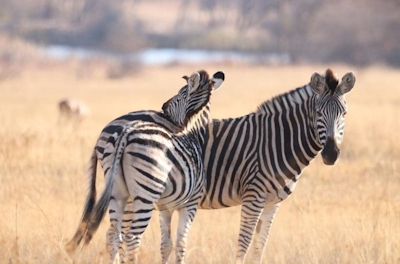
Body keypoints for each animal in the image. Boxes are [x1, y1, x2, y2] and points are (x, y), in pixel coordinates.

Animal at [67, 69, 227, 262]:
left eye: (181, 94)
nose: (163, 106)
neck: (194, 135)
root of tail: (126, 133)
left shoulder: (166, 207)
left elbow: (167, 244)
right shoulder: (190, 204)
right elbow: (181, 244)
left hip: (117, 192)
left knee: (113, 235)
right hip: (146, 194)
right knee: (132, 238)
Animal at [89, 67, 354, 262]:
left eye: (344, 114)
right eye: (318, 113)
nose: (331, 154)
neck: (278, 140)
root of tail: (112, 125)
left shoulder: (273, 203)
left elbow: (259, 245)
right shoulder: (253, 196)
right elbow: (244, 243)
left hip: (124, 192)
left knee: (114, 235)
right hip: (138, 192)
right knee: (123, 237)